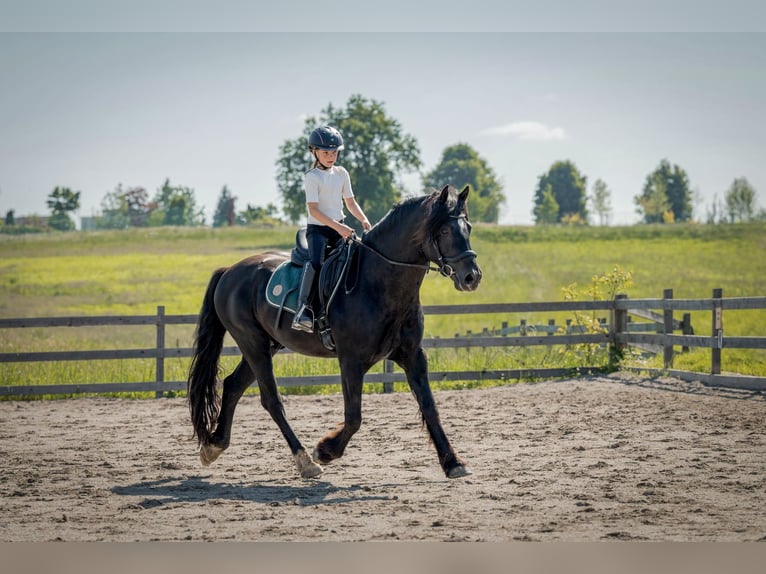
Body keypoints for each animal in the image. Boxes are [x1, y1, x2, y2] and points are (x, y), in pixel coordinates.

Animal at [187, 186, 484, 482]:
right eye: (444, 231)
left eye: (467, 227)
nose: (472, 277)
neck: (378, 282)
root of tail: (230, 271)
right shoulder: (351, 360)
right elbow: (354, 416)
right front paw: (326, 451)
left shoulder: (413, 356)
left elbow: (430, 407)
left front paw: (453, 462)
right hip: (253, 345)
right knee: (271, 400)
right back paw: (306, 462)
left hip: (266, 345)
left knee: (233, 385)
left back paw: (214, 446)